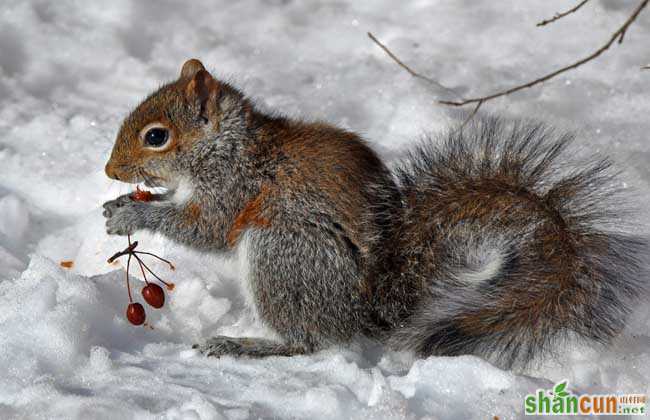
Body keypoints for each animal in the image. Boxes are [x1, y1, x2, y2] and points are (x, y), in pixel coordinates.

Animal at [101, 58, 644, 368]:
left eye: (156, 136)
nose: (109, 170)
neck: (226, 146)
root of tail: (365, 311)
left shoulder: (234, 188)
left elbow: (205, 229)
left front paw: (133, 216)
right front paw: (118, 205)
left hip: (283, 250)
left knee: (309, 341)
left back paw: (247, 345)